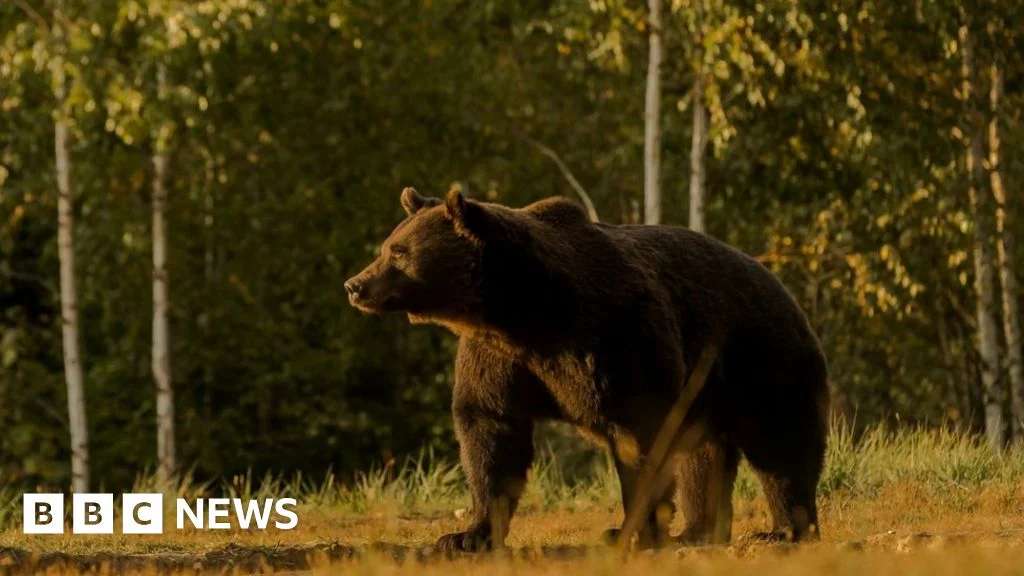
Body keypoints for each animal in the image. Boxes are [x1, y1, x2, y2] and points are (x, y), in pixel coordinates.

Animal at [345, 187, 830, 552]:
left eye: (398, 252)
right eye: (388, 246)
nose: (355, 284)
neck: (523, 311)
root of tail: (779, 284)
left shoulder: (613, 335)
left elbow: (641, 434)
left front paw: (631, 530)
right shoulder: (498, 357)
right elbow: (490, 430)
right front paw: (467, 534)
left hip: (761, 358)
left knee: (781, 444)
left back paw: (784, 529)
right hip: (708, 389)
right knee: (704, 456)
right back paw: (697, 531)